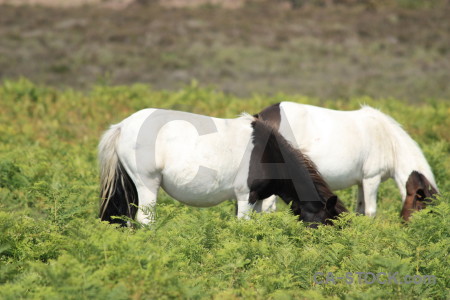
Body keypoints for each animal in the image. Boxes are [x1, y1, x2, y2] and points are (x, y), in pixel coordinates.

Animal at [256, 102, 440, 220]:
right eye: (424, 208)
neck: (388, 140)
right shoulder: (372, 179)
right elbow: (371, 212)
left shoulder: (361, 182)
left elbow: (360, 210)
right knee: (267, 208)